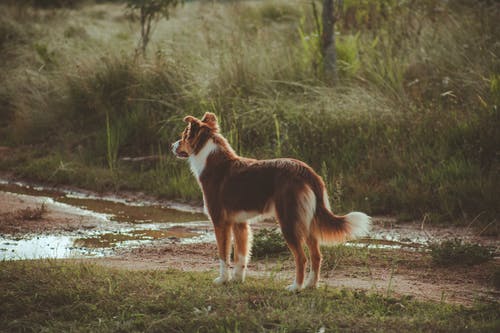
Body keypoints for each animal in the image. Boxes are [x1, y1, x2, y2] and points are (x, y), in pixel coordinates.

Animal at [172, 113, 372, 290]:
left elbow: (223, 255)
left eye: (182, 136)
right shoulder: (240, 224)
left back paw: (296, 287)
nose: (171, 145)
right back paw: (310, 285)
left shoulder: (221, 222)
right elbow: (241, 256)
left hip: (289, 221)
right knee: (316, 256)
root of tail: (306, 171)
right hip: (307, 220)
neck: (210, 158)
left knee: (302, 258)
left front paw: (222, 280)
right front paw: (237, 279)